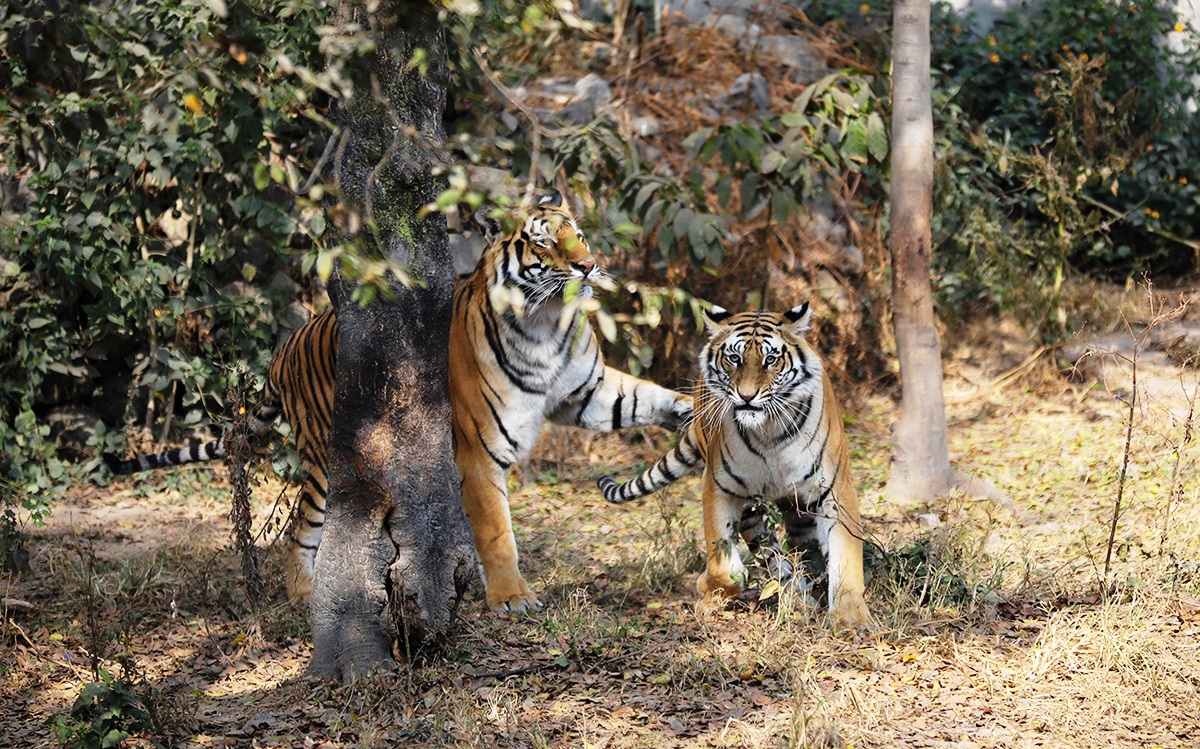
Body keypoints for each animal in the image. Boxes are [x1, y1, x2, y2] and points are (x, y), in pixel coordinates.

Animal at [112, 189, 696, 612]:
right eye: (545, 244)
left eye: (578, 234)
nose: (589, 265)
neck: (547, 324)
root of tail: (285, 346)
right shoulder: (479, 451)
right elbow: (497, 531)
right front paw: (513, 598)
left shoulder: (585, 393)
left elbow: (640, 399)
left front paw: (688, 409)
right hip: (325, 460)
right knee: (299, 527)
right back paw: (302, 597)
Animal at [600, 302, 873, 624]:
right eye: (734, 358)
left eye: (770, 360)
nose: (746, 396)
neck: (770, 430)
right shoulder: (720, 486)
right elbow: (723, 565)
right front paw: (708, 589)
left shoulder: (834, 489)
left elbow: (846, 557)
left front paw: (852, 619)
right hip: (752, 508)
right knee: (770, 552)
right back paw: (795, 598)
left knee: (798, 548)